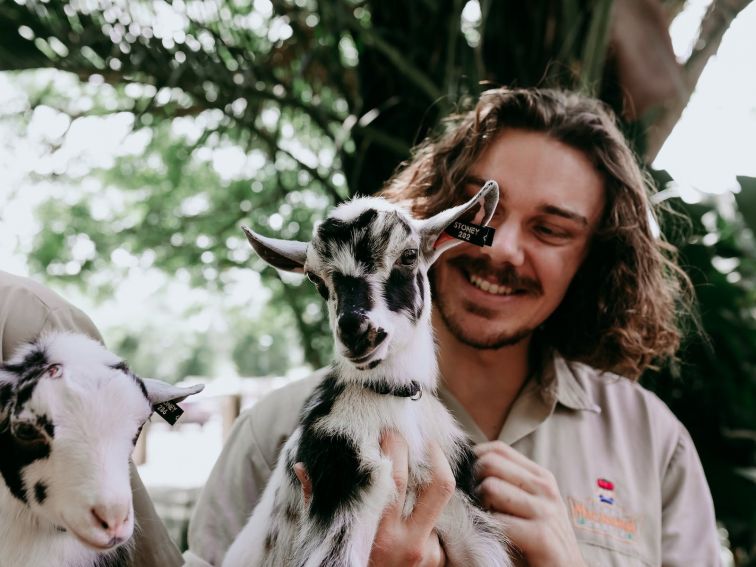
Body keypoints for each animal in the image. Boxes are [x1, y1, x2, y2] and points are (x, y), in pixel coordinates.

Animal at [221, 183, 510, 567]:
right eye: (316, 280)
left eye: (408, 256)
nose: (356, 332)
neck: (393, 401)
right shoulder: (344, 486)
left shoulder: (466, 512)